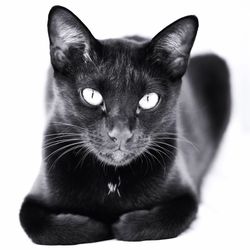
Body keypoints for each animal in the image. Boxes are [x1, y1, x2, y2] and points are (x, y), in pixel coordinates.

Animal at [19, 5, 230, 244]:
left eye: (148, 99)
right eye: (91, 95)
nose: (120, 133)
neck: (112, 180)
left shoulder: (186, 196)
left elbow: (164, 221)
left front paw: (120, 224)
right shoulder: (32, 200)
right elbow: (39, 227)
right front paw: (97, 225)